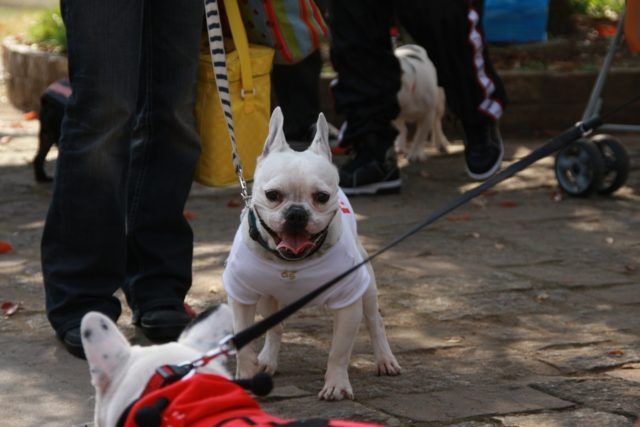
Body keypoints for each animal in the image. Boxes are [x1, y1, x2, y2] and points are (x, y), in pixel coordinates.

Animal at [223, 107, 400, 402]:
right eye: (272, 195)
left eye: (321, 197)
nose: (297, 213)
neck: (293, 261)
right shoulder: (243, 299)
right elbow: (244, 346)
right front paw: (246, 379)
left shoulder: (348, 302)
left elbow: (339, 351)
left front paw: (337, 385)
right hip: (267, 300)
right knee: (275, 328)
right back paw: (268, 360)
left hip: (367, 288)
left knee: (375, 321)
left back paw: (385, 360)